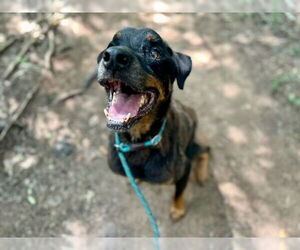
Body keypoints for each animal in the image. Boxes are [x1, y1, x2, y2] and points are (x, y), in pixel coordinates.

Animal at [97, 26, 210, 221]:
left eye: (155, 53)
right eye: (111, 45)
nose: (113, 56)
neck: (138, 141)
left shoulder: (184, 168)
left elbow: (179, 192)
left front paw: (178, 209)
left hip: (193, 145)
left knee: (206, 150)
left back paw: (202, 174)